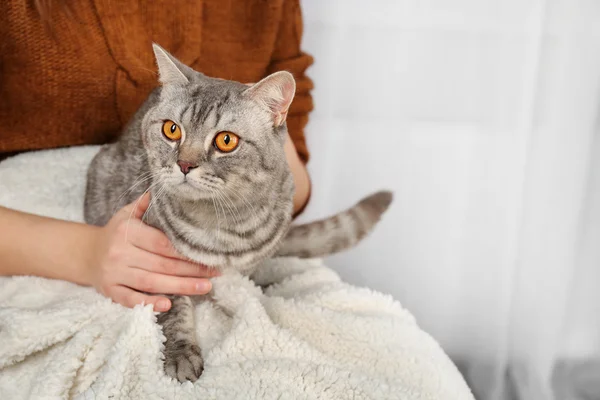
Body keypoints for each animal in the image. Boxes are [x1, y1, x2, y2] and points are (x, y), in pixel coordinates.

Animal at [84, 43, 394, 382]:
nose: (184, 164)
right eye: (171, 129)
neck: (225, 226)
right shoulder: (155, 265)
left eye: (226, 140)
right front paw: (181, 353)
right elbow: (174, 307)